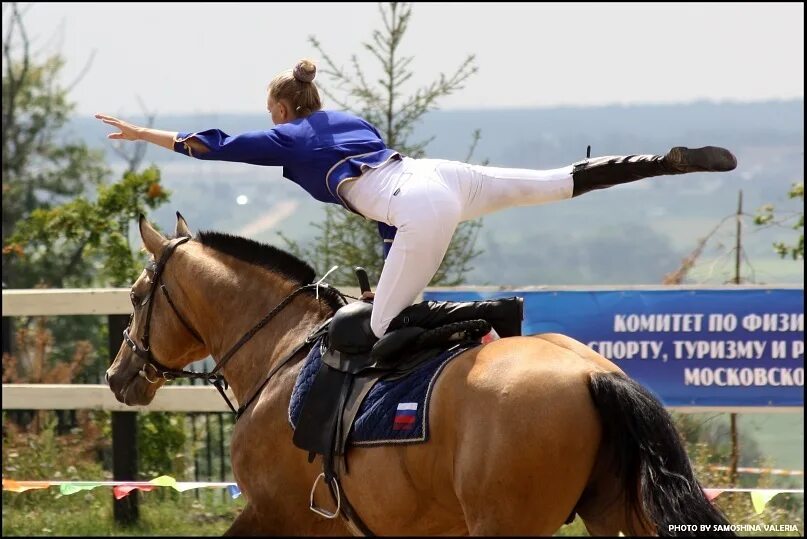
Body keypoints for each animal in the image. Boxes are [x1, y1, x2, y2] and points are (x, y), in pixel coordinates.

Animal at [104, 214, 736, 536]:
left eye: (136, 296)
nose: (117, 374)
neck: (281, 351)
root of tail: (590, 374)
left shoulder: (276, 513)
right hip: (612, 512)